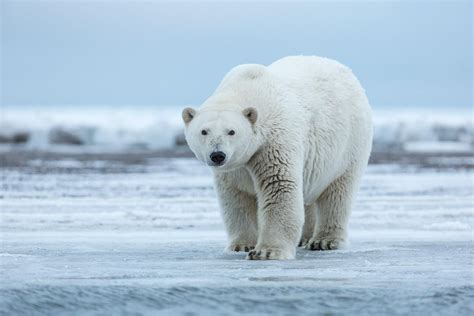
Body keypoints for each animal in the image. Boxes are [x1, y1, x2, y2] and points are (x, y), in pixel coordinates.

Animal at [183, 56, 372, 260]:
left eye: (231, 131)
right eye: (204, 131)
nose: (217, 155)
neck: (249, 87)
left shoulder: (273, 142)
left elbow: (279, 186)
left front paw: (266, 252)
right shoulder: (235, 168)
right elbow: (237, 197)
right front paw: (241, 245)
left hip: (349, 145)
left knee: (338, 193)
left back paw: (325, 241)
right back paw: (305, 238)